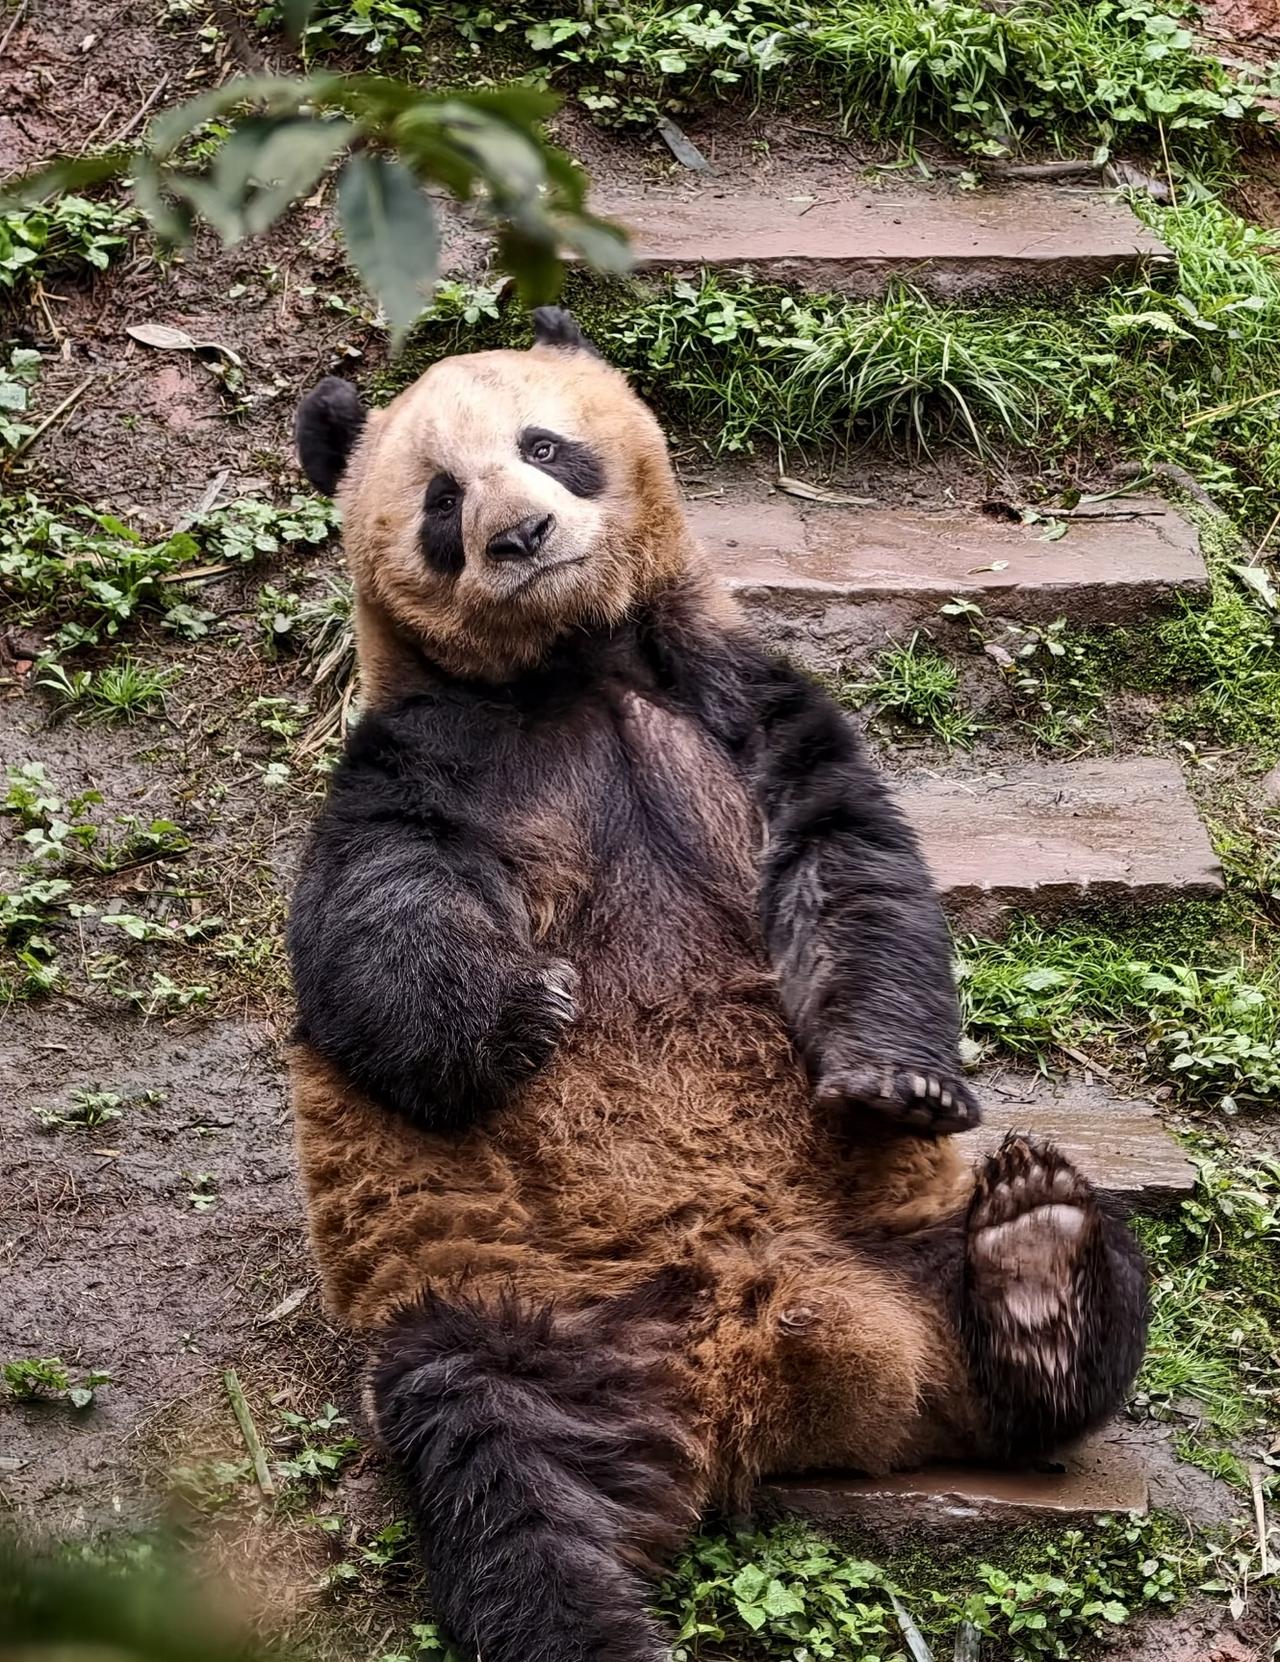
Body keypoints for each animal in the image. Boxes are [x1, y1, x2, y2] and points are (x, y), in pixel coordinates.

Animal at [287, 307, 1148, 1662]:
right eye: (440, 499)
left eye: (546, 445)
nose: (518, 537)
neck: (571, 663)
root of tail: (775, 1369)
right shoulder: (423, 748)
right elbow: (368, 919)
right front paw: (525, 1014)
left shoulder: (737, 696)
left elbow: (851, 864)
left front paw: (897, 1084)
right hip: (523, 1317)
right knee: (501, 1475)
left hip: (891, 1241)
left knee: (1061, 1304)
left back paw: (1037, 1266)